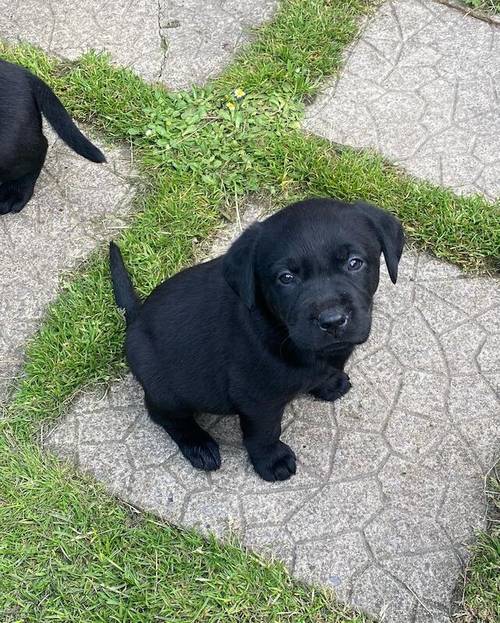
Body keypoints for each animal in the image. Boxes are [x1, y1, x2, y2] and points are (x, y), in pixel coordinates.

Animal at [108, 200, 402, 482]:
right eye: (286, 278)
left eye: (354, 263)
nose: (331, 320)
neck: (282, 332)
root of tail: (134, 320)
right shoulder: (257, 400)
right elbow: (264, 433)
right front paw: (272, 461)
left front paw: (329, 382)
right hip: (167, 390)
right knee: (163, 414)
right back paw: (198, 444)